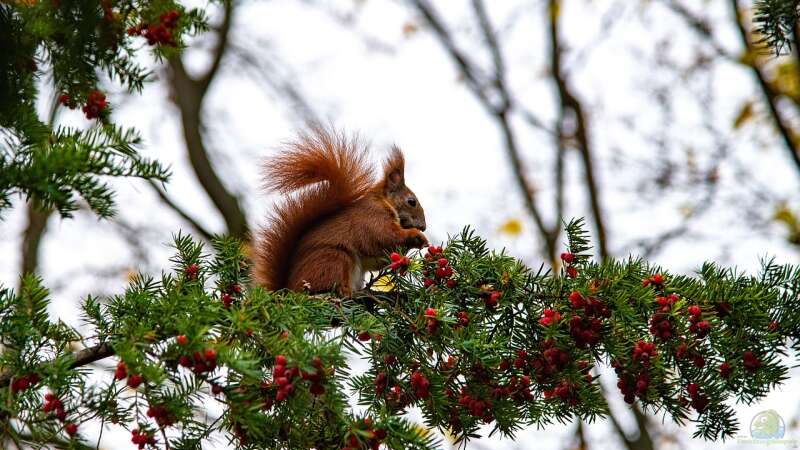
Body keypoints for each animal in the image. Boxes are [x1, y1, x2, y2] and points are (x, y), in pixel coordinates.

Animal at [256, 127, 432, 296]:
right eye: (411, 202)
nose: (423, 227)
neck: (384, 201)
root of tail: (287, 288)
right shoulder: (371, 217)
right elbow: (384, 237)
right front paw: (417, 236)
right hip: (335, 258)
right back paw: (344, 291)